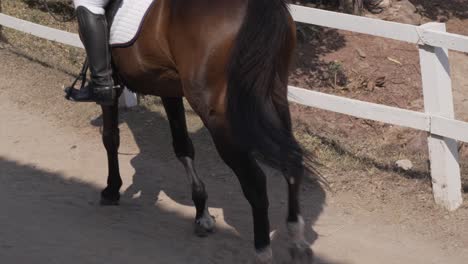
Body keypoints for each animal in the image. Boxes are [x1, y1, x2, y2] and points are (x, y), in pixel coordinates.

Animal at [96, 0, 314, 262]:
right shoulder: (168, 86)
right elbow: (182, 146)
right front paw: (202, 213)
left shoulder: (113, 83)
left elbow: (110, 137)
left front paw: (112, 189)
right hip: (274, 97)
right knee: (291, 161)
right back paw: (297, 240)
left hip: (218, 114)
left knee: (255, 181)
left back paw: (262, 250)